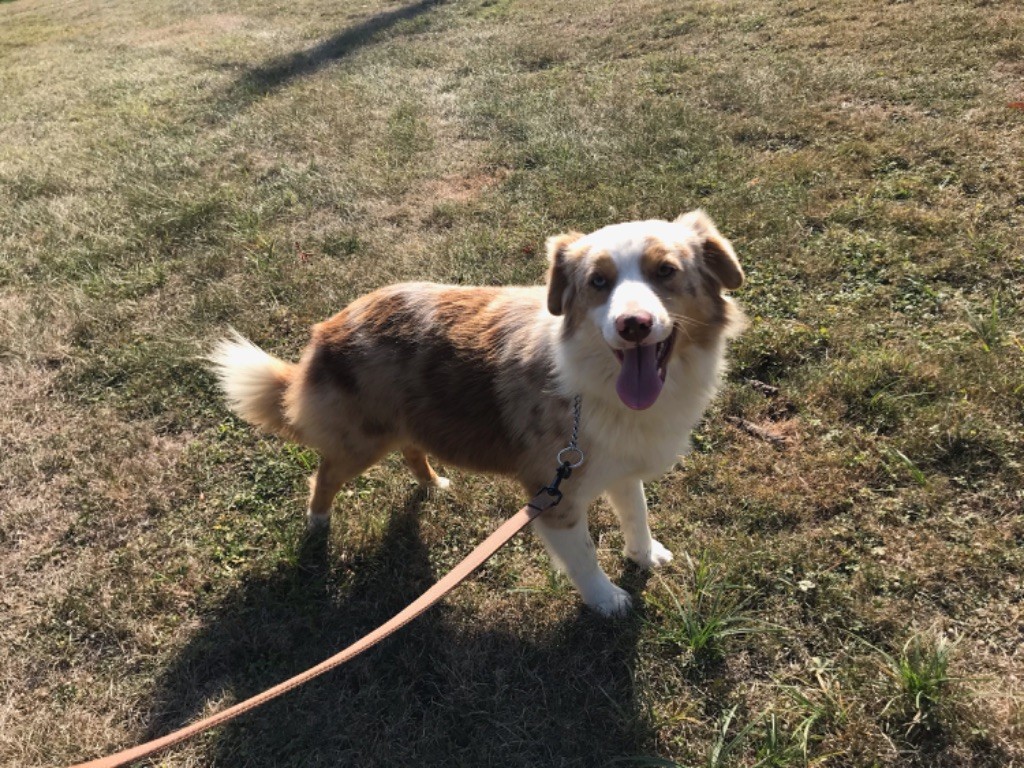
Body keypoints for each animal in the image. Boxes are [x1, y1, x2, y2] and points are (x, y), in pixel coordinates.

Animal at [210, 210, 744, 616]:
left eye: (666, 271)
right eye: (598, 282)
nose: (633, 324)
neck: (592, 382)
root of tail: (325, 330)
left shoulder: (620, 463)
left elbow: (637, 514)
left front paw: (645, 555)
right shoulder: (554, 494)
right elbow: (585, 558)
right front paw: (607, 600)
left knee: (411, 450)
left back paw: (432, 484)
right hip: (360, 441)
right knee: (323, 475)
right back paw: (318, 523)